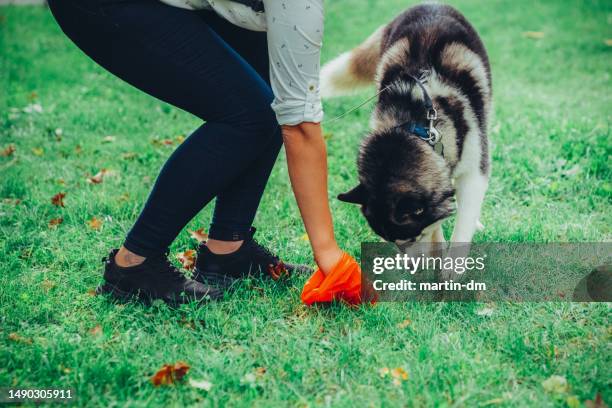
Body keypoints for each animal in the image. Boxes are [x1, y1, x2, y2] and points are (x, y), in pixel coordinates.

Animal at [322, 3, 490, 245]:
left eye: (412, 238)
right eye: (390, 241)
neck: (415, 125)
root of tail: (430, 4)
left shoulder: (474, 171)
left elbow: (462, 226)